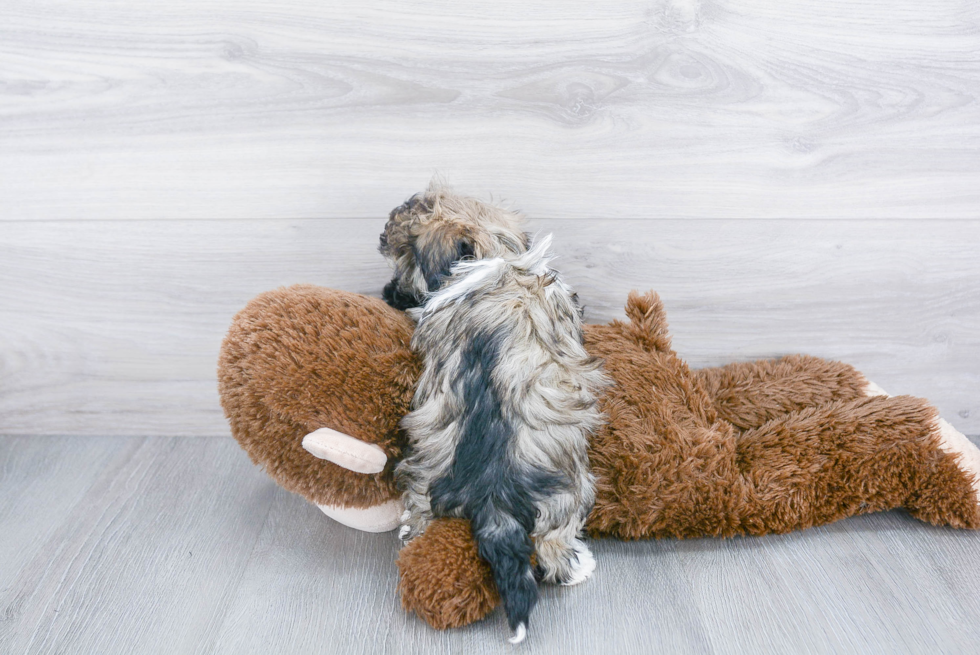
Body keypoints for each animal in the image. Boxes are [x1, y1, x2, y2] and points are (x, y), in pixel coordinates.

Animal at [390, 236, 604, 644]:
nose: (388, 294)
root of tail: (492, 493)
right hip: (570, 493)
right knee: (553, 545)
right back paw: (576, 566)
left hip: (427, 476)